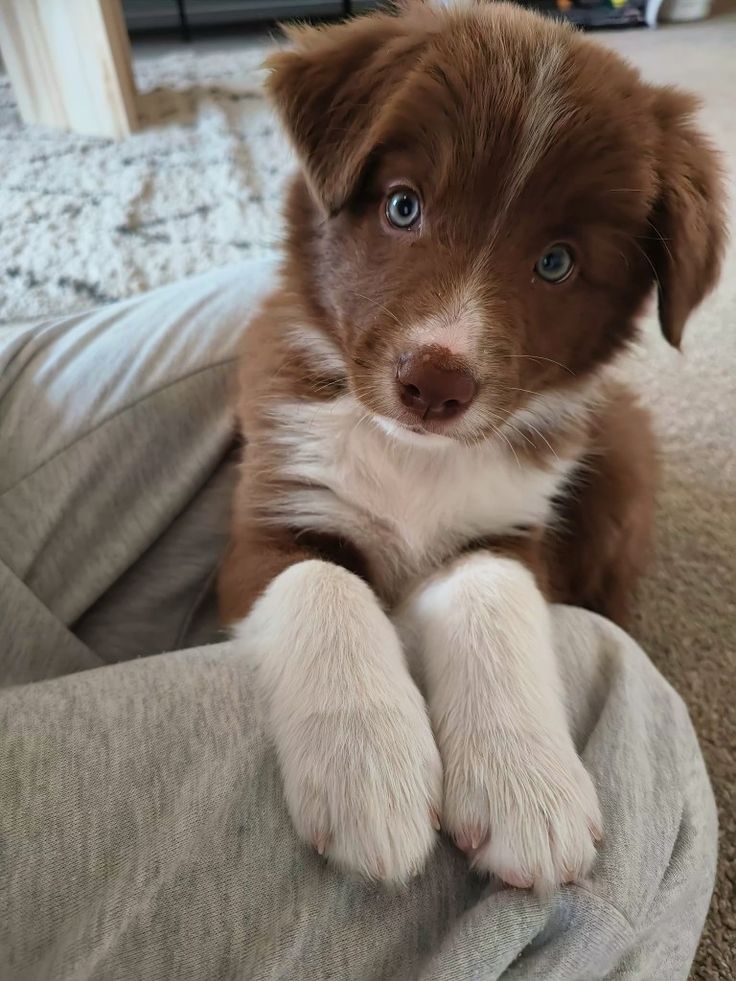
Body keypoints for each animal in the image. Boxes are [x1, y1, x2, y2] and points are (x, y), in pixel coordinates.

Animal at [218, 1, 724, 888]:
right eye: (403, 206)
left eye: (557, 262)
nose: (435, 382)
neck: (413, 457)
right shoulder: (270, 513)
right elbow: (322, 581)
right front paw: (368, 768)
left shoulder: (510, 529)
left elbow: (493, 595)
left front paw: (527, 785)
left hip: (623, 459)